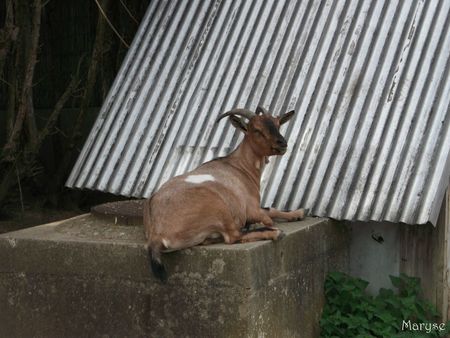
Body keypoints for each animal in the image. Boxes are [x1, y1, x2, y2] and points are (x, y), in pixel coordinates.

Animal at [144, 107, 306, 282]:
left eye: (277, 124)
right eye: (256, 129)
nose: (282, 143)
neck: (240, 166)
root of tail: (156, 235)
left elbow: (271, 209)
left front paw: (299, 213)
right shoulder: (251, 208)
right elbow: (268, 215)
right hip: (218, 206)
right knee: (233, 236)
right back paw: (274, 232)